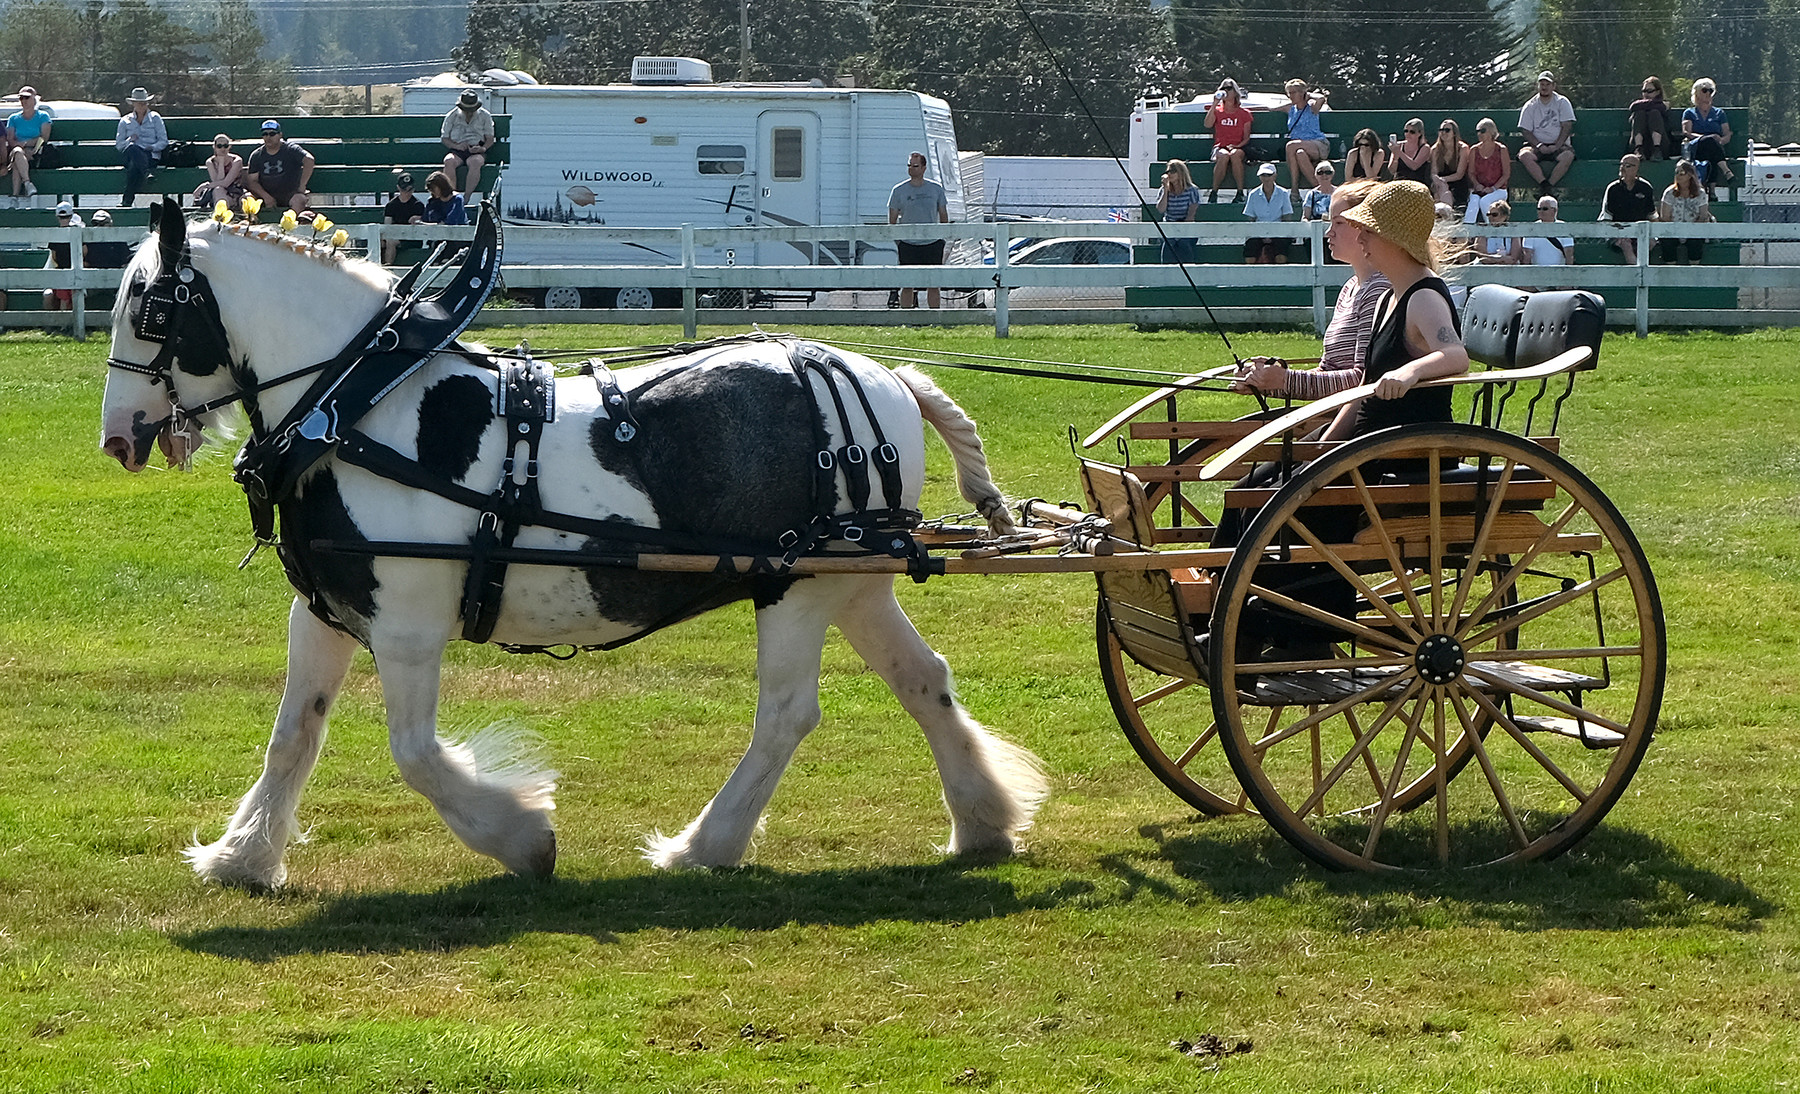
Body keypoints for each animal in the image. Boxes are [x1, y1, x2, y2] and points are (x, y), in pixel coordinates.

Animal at [98, 206, 1051, 888]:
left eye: (151, 307)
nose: (117, 436)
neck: (355, 406)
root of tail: (883, 376)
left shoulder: (407, 625)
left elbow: (415, 754)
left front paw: (523, 837)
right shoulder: (328, 613)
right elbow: (293, 734)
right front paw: (243, 857)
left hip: (798, 585)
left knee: (787, 714)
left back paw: (705, 844)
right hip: (853, 582)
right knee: (923, 680)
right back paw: (982, 821)